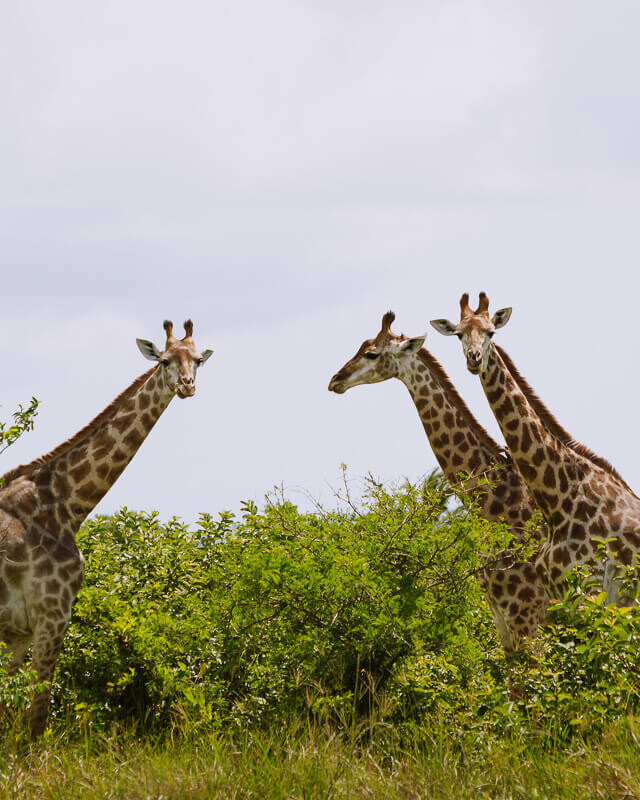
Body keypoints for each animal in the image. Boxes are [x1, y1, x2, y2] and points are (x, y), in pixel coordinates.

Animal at [0, 319, 212, 736]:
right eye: (164, 360)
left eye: (198, 360)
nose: (186, 386)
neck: (68, 503)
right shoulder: (52, 616)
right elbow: (36, 719)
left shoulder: (19, 633)